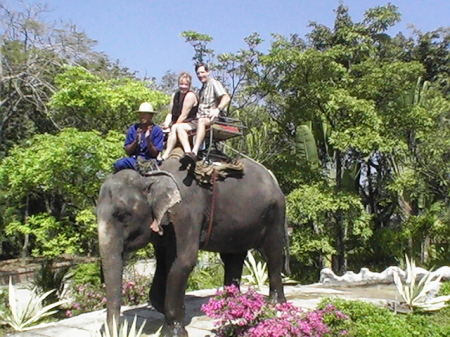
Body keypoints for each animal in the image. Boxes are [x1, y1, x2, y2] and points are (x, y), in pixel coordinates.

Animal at [97, 157, 290, 336]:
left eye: (123, 215)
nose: (110, 331)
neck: (150, 176)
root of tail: (272, 178)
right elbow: (164, 264)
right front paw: (172, 310)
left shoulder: (186, 212)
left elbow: (183, 262)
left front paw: (174, 331)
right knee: (233, 257)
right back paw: (231, 304)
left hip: (275, 213)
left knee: (272, 253)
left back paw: (275, 303)